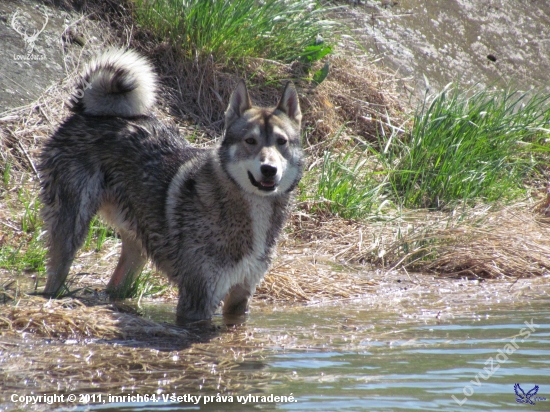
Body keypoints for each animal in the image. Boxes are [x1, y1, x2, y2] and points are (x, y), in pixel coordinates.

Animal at [39, 49, 304, 322]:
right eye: (250, 141)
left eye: (281, 142)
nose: (269, 169)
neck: (251, 207)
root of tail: (84, 113)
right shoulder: (197, 299)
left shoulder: (241, 297)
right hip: (71, 231)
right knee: (55, 276)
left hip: (136, 250)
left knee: (115, 286)